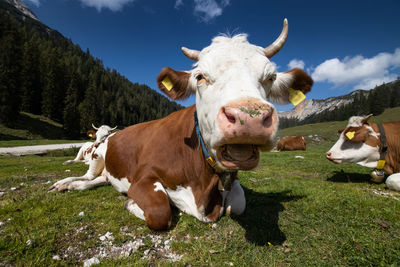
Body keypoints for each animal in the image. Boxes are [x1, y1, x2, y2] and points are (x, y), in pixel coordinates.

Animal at [48, 19, 314, 231]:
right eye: (200, 77)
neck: (203, 187)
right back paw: (64, 183)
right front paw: (132, 203)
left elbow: (238, 205)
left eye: (271, 77)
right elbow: (160, 212)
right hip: (97, 156)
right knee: (86, 175)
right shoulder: (144, 178)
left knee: (98, 180)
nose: (248, 118)